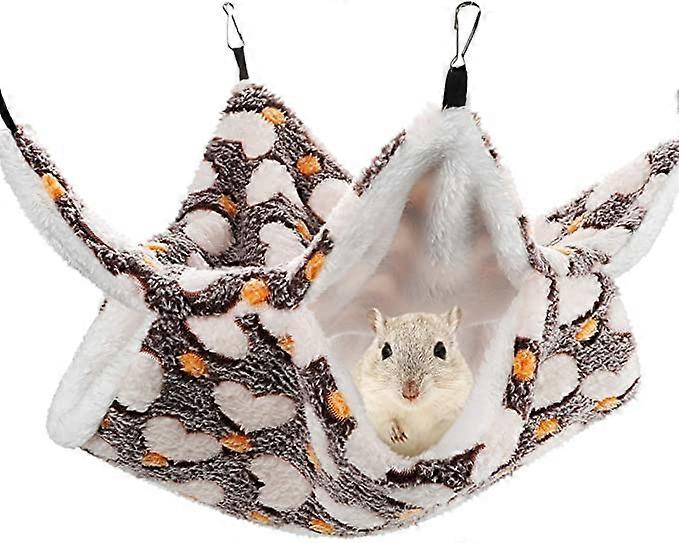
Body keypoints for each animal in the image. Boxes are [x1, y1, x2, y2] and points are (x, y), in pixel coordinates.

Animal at [352, 308, 474, 457]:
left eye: (441, 350)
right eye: (385, 351)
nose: (410, 393)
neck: (415, 410)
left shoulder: (455, 406)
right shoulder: (374, 404)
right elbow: (386, 421)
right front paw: (398, 435)